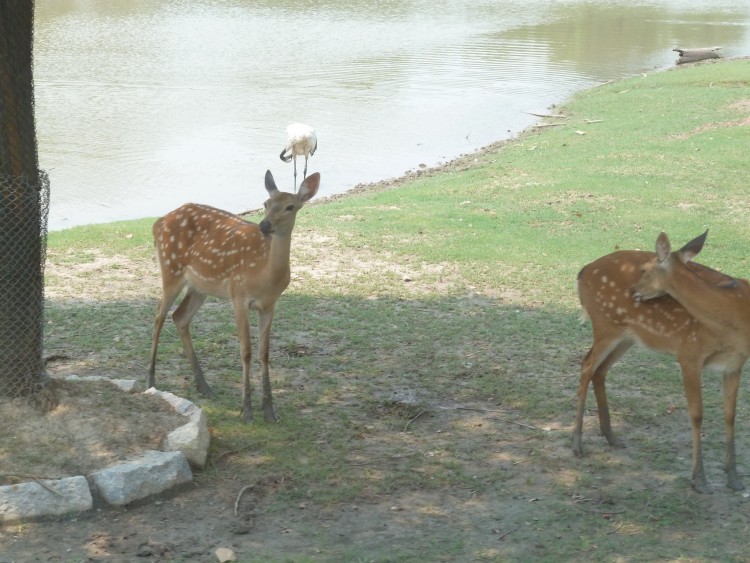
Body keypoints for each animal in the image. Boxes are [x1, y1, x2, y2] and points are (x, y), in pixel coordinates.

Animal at [148, 170, 322, 420]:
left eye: (290, 206)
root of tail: (158, 223)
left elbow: (264, 353)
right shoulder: (238, 295)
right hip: (171, 269)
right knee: (158, 317)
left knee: (179, 317)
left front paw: (269, 410)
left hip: (200, 286)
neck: (266, 276)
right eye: (266, 203)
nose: (264, 224)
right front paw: (246, 410)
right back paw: (150, 380)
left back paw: (204, 386)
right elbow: (246, 351)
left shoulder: (269, 305)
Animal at [576, 232, 748, 494]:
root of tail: (582, 272)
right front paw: (699, 479)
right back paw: (577, 443)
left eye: (645, 269)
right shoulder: (689, 353)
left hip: (627, 336)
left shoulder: (735, 364)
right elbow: (697, 415)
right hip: (605, 325)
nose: (633, 291)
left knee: (599, 370)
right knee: (586, 366)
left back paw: (611, 436)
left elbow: (730, 415)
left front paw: (734, 478)